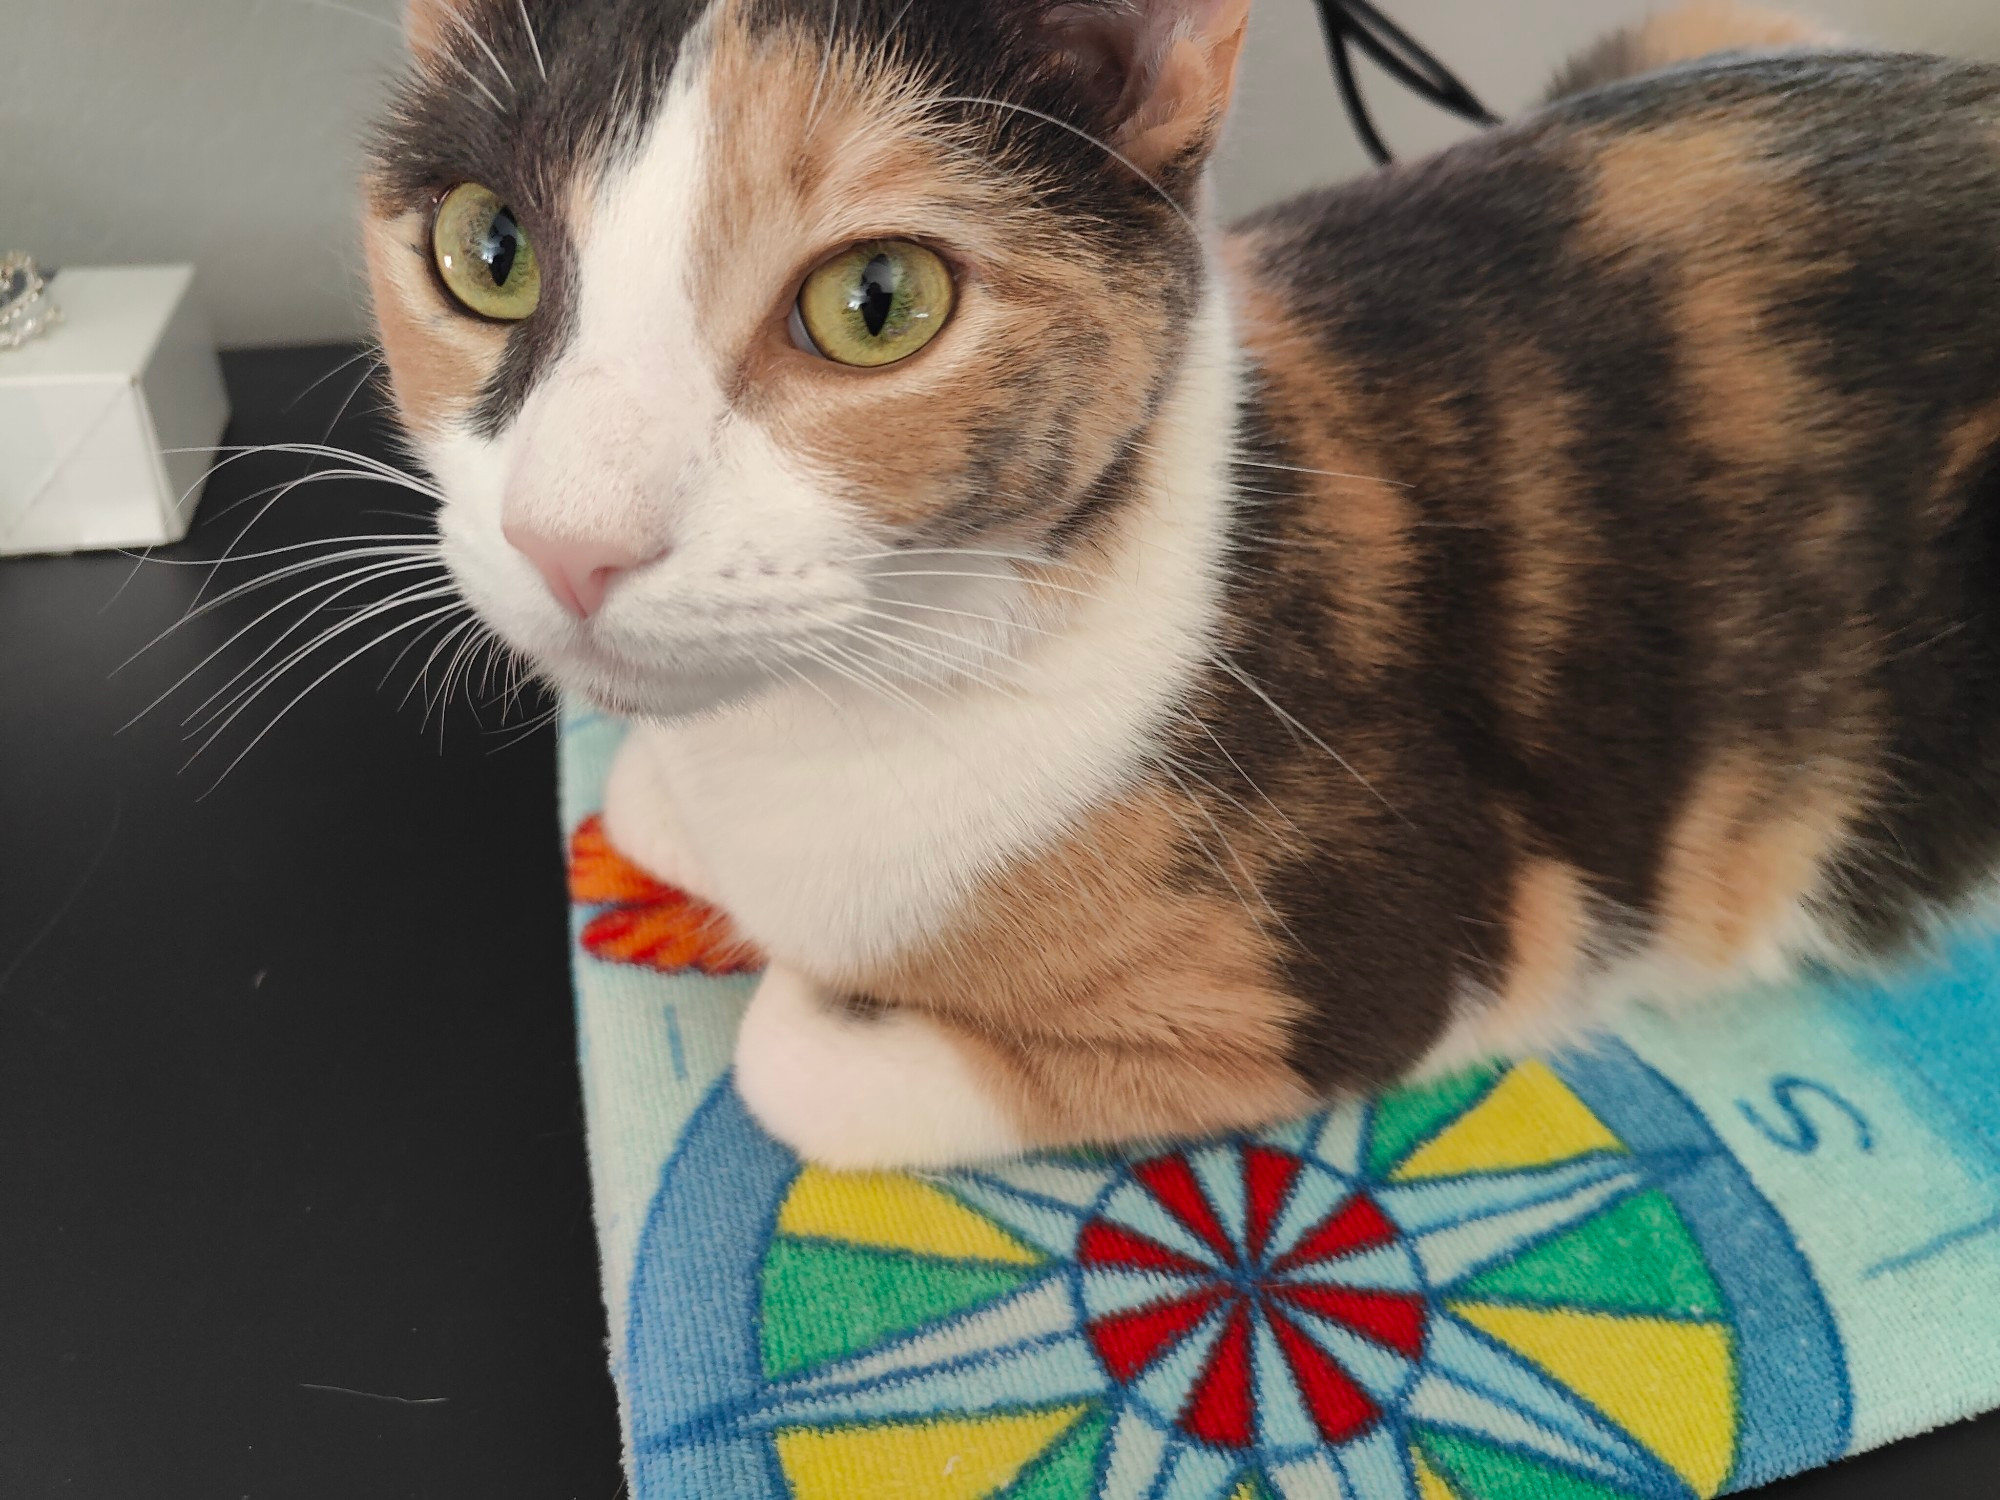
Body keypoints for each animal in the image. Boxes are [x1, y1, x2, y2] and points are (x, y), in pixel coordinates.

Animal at [364, 0, 2000, 1168]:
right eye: (487, 250)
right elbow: (650, 801)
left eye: (876, 303)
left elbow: (788, 1062)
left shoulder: (1373, 954)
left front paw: (804, 983)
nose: (571, 540)